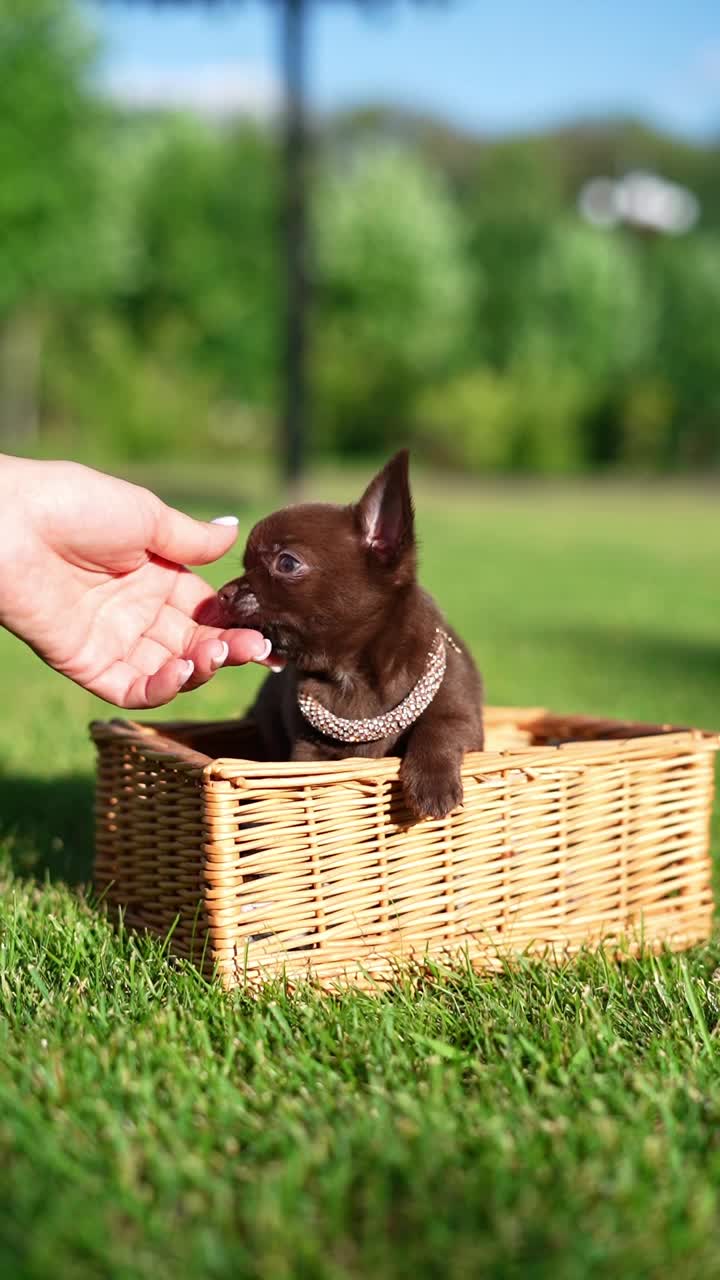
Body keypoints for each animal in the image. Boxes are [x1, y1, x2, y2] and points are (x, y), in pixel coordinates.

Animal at [213, 450, 481, 819]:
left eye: (286, 563)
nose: (223, 594)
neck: (350, 673)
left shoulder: (462, 713)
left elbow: (440, 727)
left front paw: (432, 784)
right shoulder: (307, 750)